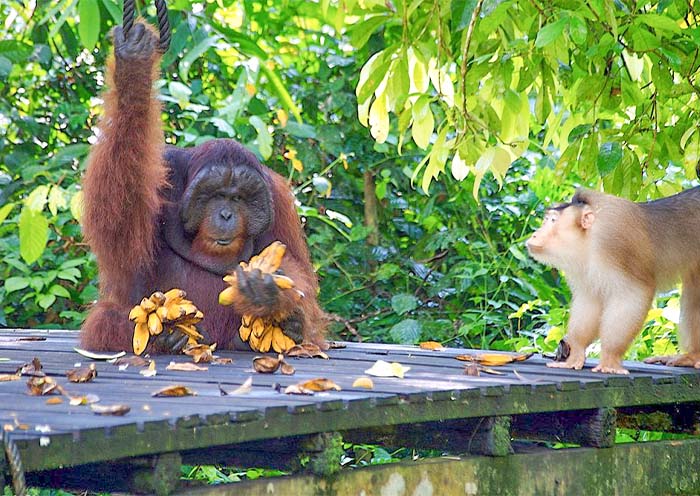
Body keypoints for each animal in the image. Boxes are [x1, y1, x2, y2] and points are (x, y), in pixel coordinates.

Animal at [526, 187, 700, 374]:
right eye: (546, 220)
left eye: (552, 221)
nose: (534, 234)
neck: (589, 238)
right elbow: (590, 300)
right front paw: (575, 352)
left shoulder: (613, 241)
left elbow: (633, 294)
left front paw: (609, 358)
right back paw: (693, 356)